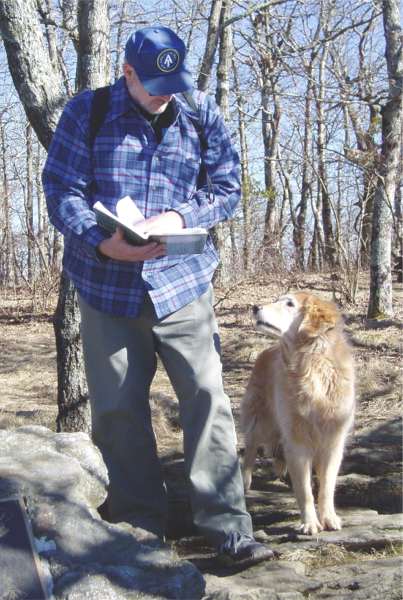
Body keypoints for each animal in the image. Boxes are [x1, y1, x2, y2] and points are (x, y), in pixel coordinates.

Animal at [241, 292, 356, 536]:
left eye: (289, 304)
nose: (255, 307)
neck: (312, 363)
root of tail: (266, 351)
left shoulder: (333, 442)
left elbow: (326, 486)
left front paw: (329, 518)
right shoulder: (297, 442)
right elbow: (304, 490)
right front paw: (310, 523)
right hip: (260, 421)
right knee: (250, 449)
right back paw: (245, 481)